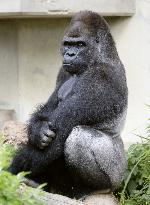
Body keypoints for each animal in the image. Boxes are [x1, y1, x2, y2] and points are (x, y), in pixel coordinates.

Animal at [8, 10, 127, 199]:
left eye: (80, 44)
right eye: (68, 44)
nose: (70, 54)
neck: (100, 57)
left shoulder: (100, 80)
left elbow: (60, 133)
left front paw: (10, 172)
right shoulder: (63, 72)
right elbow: (47, 111)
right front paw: (37, 130)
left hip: (117, 176)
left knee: (79, 137)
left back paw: (93, 188)